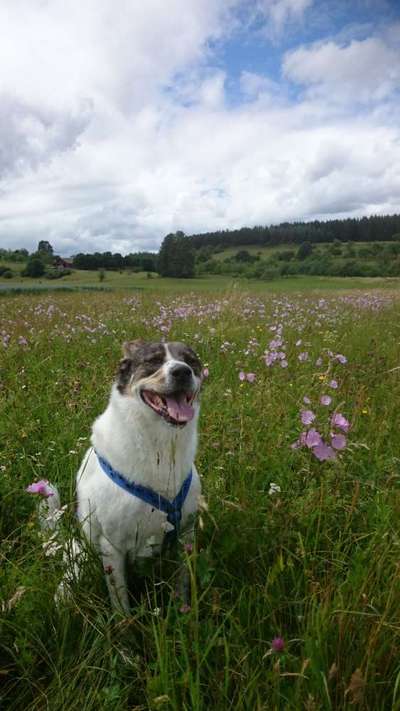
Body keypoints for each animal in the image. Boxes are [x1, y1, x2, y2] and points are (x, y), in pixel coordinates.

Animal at [54, 340, 203, 612]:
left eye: (190, 360)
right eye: (153, 361)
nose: (182, 372)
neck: (160, 446)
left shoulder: (185, 535)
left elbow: (182, 584)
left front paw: (183, 614)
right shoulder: (111, 546)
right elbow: (120, 602)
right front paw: (126, 624)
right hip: (81, 550)